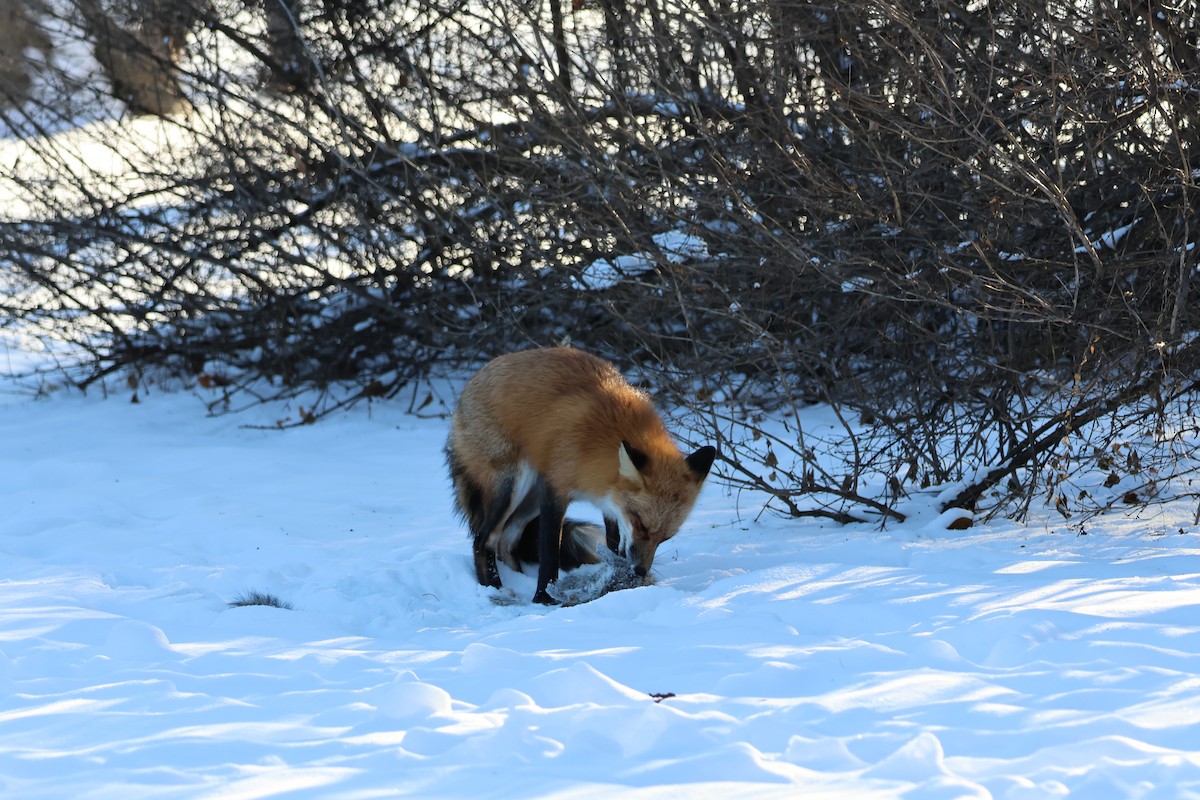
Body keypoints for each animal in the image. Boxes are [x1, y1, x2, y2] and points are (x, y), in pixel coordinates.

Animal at [445, 347, 716, 604]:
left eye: (665, 538)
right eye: (641, 524)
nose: (639, 571)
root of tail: (467, 389)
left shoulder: (611, 505)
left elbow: (614, 544)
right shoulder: (555, 489)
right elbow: (550, 554)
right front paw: (544, 598)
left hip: (530, 499)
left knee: (506, 541)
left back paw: (519, 581)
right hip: (511, 486)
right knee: (483, 540)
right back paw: (495, 589)